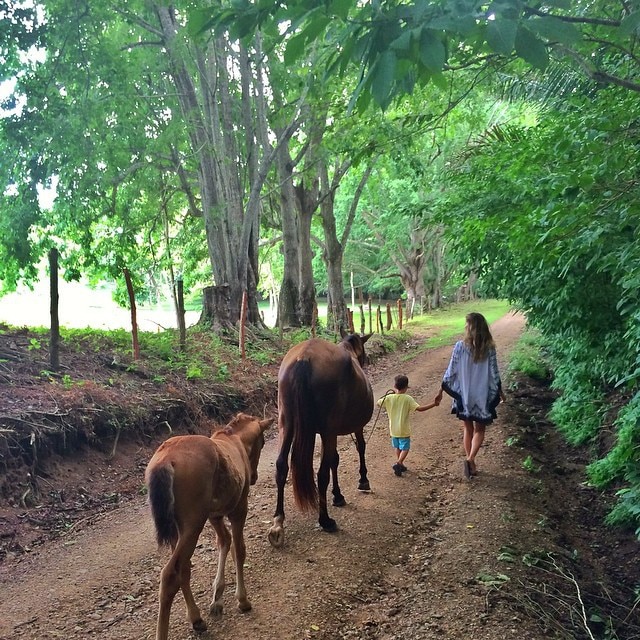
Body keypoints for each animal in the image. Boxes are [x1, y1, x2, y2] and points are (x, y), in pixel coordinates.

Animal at [145, 412, 276, 640]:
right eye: (262, 442)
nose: (253, 477)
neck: (235, 440)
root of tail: (166, 459)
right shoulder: (239, 510)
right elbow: (238, 550)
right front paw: (242, 600)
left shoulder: (214, 516)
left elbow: (224, 541)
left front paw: (217, 597)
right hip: (193, 526)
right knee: (171, 574)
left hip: (179, 530)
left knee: (183, 569)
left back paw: (196, 618)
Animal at [266, 330, 376, 544]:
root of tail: (304, 357)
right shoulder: (349, 428)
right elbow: (360, 447)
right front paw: (362, 480)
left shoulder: (328, 433)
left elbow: (335, 459)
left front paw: (338, 495)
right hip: (327, 430)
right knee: (322, 473)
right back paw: (325, 520)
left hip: (287, 425)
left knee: (281, 466)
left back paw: (278, 522)